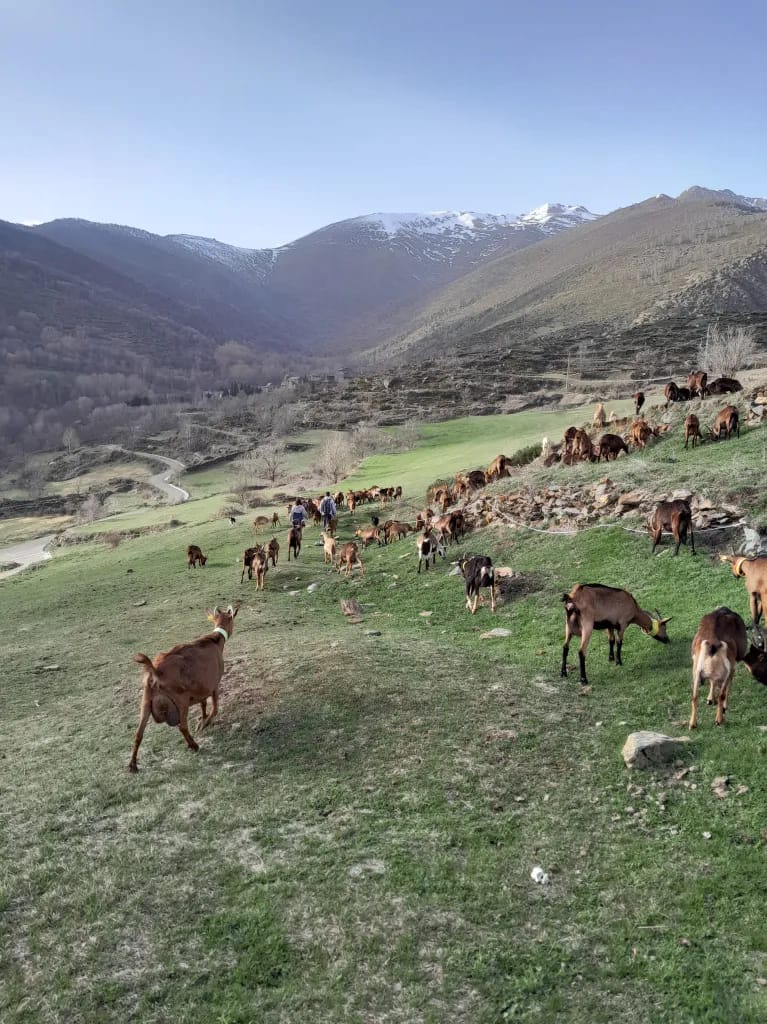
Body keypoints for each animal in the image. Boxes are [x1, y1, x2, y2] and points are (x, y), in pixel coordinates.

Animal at [128, 604, 239, 772]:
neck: (214, 640)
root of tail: (155, 670)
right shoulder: (214, 684)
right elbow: (215, 708)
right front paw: (204, 724)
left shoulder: (201, 686)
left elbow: (203, 703)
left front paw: (202, 718)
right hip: (181, 701)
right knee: (182, 726)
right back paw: (194, 745)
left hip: (146, 701)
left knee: (138, 734)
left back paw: (132, 765)